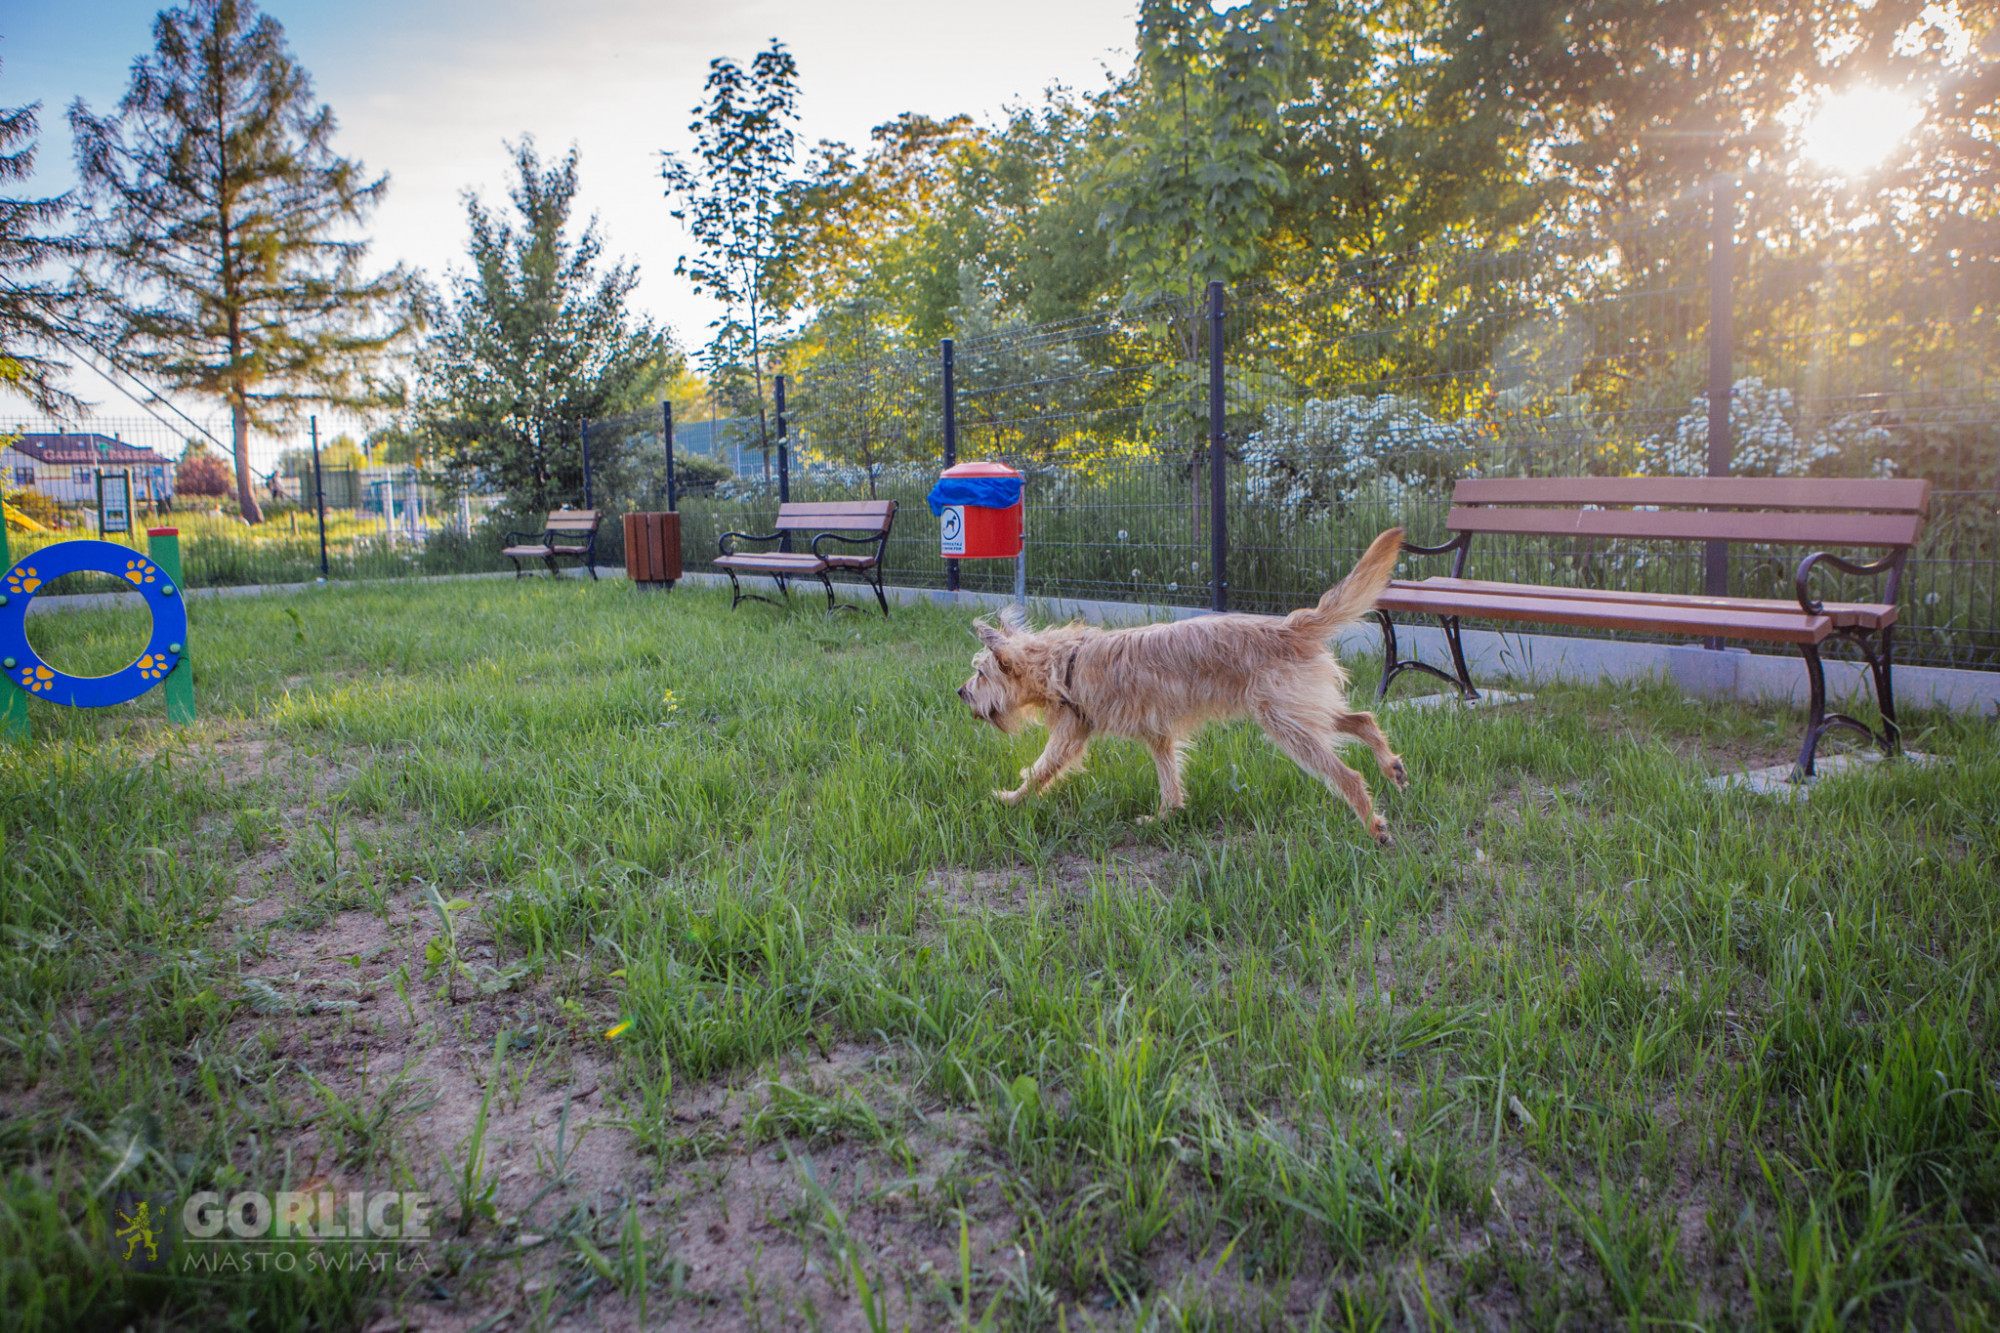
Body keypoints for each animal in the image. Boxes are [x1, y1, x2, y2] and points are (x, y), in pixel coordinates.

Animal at [960, 528, 1416, 840]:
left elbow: (1041, 770)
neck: (1062, 662)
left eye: (981, 674)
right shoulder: (1157, 733)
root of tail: (1291, 625)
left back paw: (1372, 824)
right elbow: (1169, 780)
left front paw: (1010, 799)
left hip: (1287, 724)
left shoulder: (1071, 734)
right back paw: (1391, 766)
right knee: (1362, 718)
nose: (961, 692)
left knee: (1347, 774)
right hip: (1302, 710)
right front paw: (1165, 816)